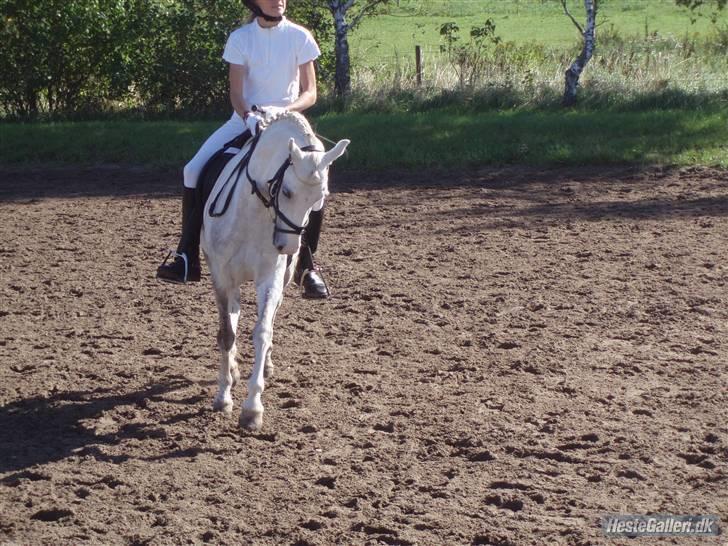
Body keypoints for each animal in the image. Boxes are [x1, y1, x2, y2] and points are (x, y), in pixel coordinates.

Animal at [201, 111, 349, 431]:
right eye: (287, 191)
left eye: (321, 198)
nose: (288, 246)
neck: (254, 211)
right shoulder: (222, 277)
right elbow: (226, 333)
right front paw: (223, 397)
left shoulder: (270, 278)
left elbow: (262, 331)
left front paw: (252, 408)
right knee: (233, 315)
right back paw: (232, 371)